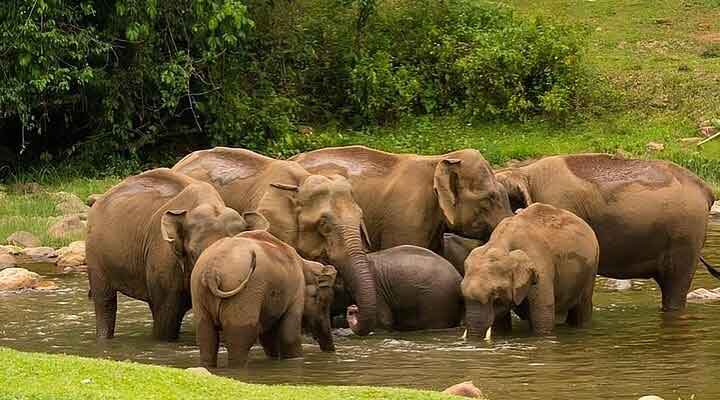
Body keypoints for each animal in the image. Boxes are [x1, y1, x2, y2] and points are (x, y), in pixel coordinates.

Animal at [190, 230, 337, 368]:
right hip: (245, 294)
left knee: (206, 337)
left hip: (198, 290)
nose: (331, 352)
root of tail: (211, 272)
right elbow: (289, 336)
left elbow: (268, 337)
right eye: (323, 303)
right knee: (241, 338)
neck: (305, 264)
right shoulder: (296, 290)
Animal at [462, 203, 599, 337]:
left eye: (494, 294)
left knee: (582, 308)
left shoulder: (541, 268)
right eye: (462, 294)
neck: (500, 242)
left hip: (591, 268)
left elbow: (543, 317)